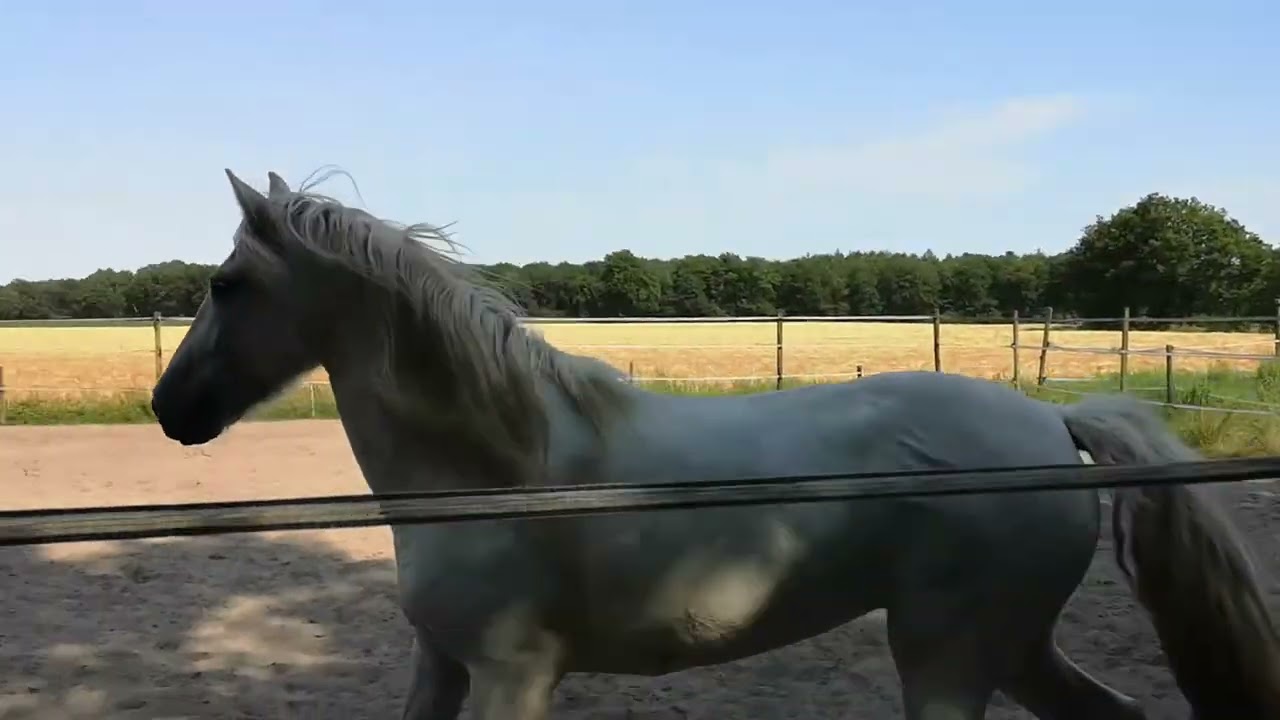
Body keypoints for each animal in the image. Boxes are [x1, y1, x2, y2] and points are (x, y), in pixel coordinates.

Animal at [150, 168, 1280, 719]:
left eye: (227, 283)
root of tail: (1053, 421)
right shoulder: (442, 665)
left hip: (950, 655)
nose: (170, 409)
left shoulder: (514, 675)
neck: (496, 471)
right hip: (1009, 647)